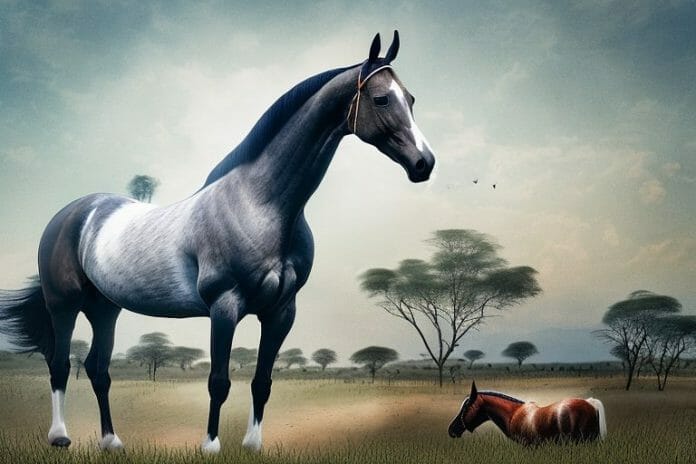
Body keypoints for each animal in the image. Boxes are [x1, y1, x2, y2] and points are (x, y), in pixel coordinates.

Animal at [0, 31, 435, 454]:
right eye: (381, 98)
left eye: (411, 98)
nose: (424, 164)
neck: (260, 204)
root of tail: (74, 212)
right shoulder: (224, 306)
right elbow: (219, 381)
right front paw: (210, 445)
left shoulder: (281, 312)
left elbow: (262, 382)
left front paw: (253, 444)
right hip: (65, 304)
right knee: (59, 365)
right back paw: (60, 437)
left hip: (105, 308)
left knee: (97, 369)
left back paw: (112, 441)